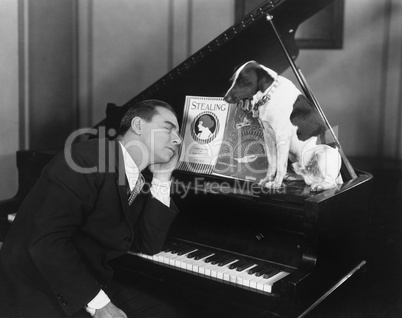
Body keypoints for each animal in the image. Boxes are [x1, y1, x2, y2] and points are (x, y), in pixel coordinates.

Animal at [223, 61, 342, 191]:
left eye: (244, 80)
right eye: (232, 80)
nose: (225, 98)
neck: (269, 95)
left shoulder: (282, 137)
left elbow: (280, 165)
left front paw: (275, 184)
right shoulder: (268, 135)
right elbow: (272, 162)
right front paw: (268, 179)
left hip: (321, 154)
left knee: (330, 182)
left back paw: (320, 185)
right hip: (293, 156)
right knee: (304, 176)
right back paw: (293, 176)